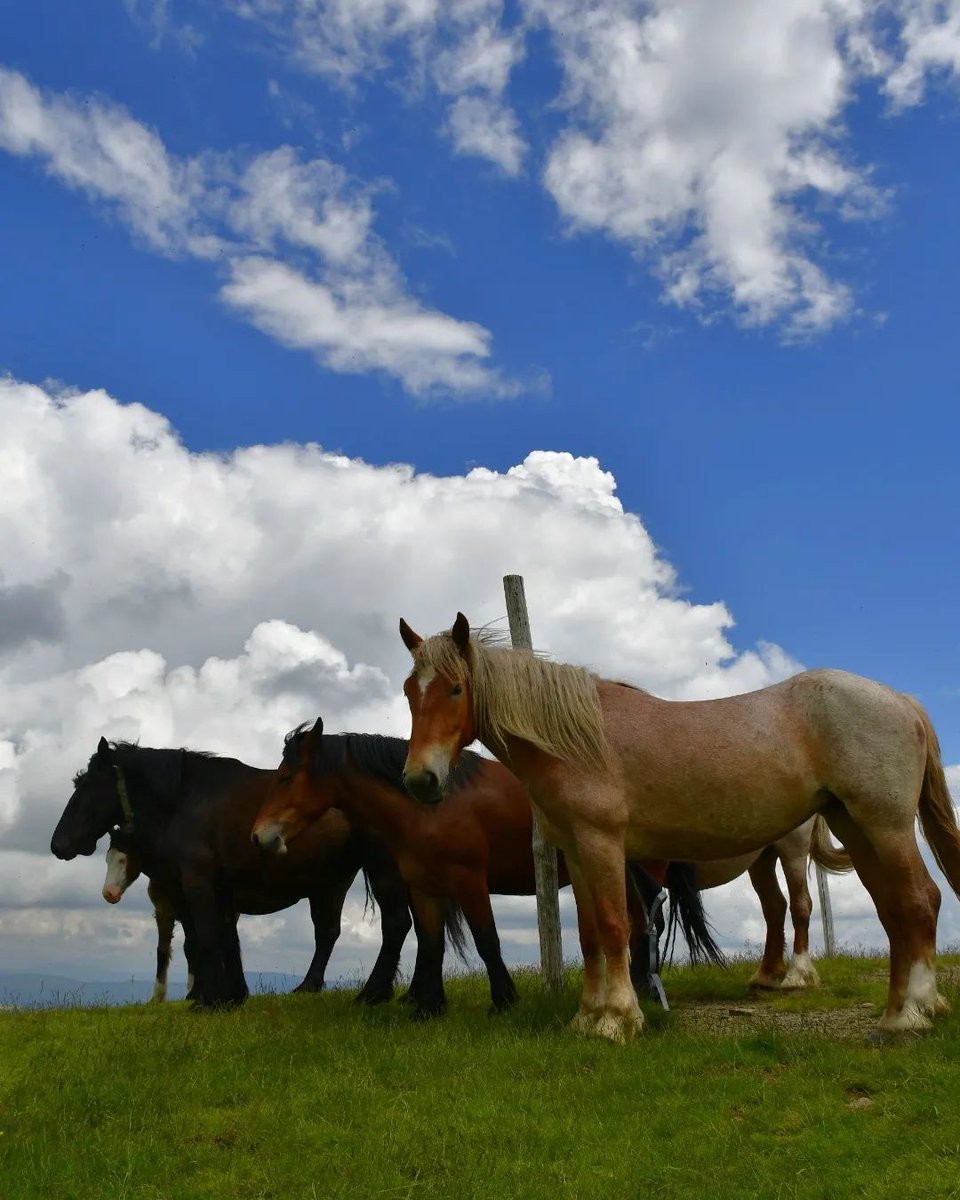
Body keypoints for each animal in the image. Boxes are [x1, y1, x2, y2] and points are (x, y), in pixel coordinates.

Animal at [51, 738, 414, 1009]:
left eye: (85, 785)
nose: (58, 844)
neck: (186, 800)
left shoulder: (196, 884)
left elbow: (205, 938)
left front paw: (207, 1000)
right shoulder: (220, 891)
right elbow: (226, 940)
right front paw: (232, 996)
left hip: (380, 869)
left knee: (395, 923)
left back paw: (373, 993)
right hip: (334, 884)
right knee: (330, 933)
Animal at [250, 719, 721, 1019]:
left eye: (286, 776)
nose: (258, 837)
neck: (428, 806)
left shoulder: (468, 880)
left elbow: (486, 940)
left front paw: (503, 1001)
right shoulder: (425, 887)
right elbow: (431, 944)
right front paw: (427, 1007)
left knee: (644, 926)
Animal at [399, 614, 960, 1042]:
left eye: (456, 689)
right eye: (409, 692)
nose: (420, 781)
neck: (576, 739)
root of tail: (900, 700)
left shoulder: (603, 845)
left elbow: (615, 926)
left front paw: (618, 1020)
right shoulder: (576, 854)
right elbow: (588, 934)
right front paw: (587, 1016)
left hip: (880, 827)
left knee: (916, 900)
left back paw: (909, 1014)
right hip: (854, 828)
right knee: (890, 910)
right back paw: (901, 1009)